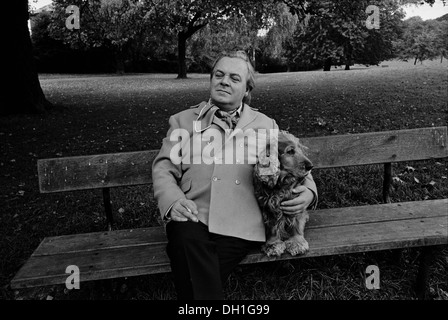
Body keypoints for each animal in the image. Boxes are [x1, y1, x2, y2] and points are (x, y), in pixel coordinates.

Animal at [254, 130, 314, 258]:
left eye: (301, 149)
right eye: (290, 151)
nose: (310, 166)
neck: (281, 184)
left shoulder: (296, 202)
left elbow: (296, 224)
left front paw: (297, 242)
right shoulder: (268, 206)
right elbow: (272, 227)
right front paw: (272, 244)